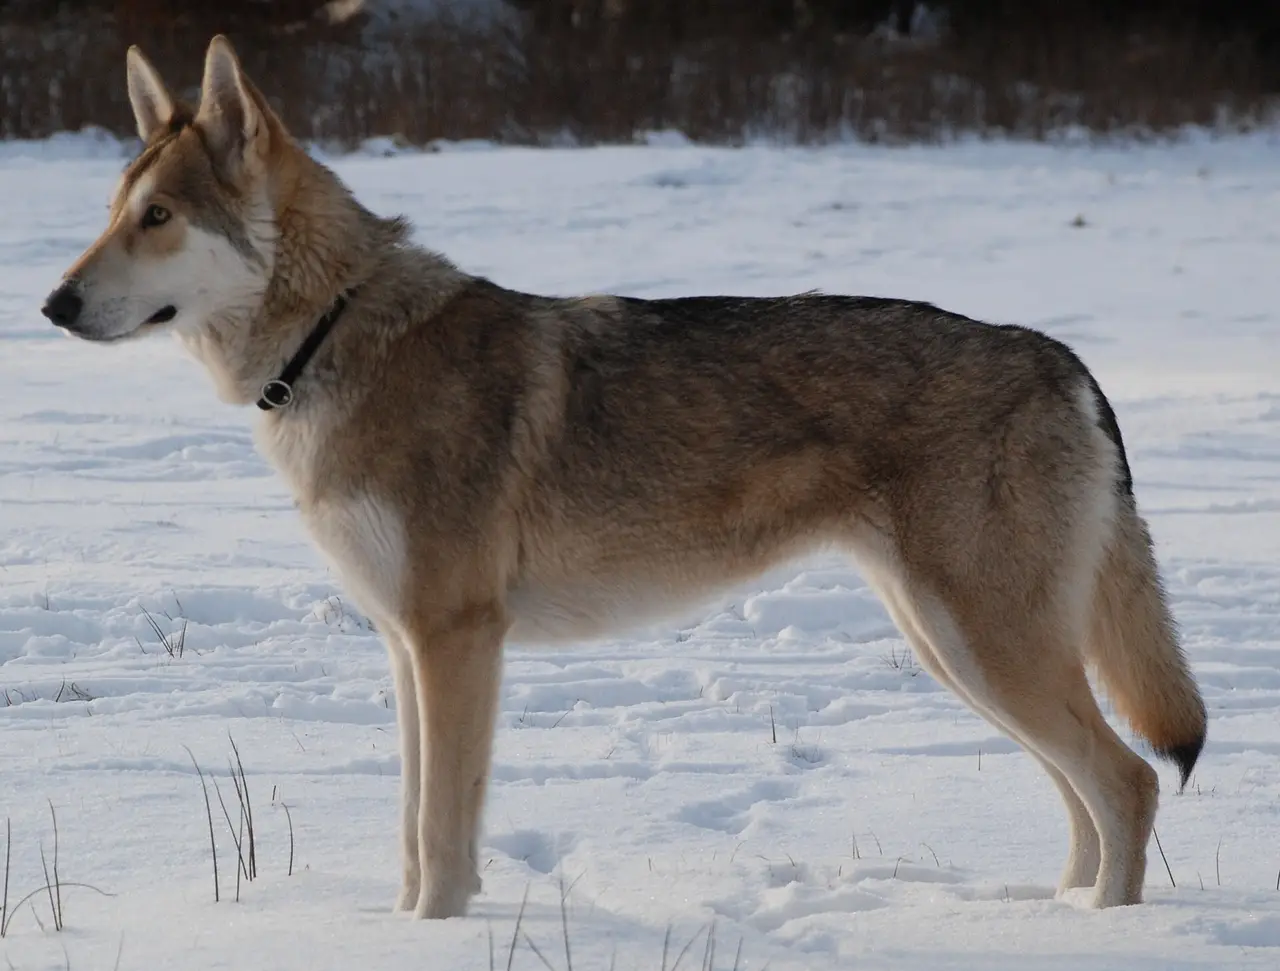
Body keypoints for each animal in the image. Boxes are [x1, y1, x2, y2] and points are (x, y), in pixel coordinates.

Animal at [43, 35, 1206, 918]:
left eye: (157, 218)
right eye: (108, 210)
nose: (52, 305)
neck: (333, 336)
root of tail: (1062, 358)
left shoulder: (457, 638)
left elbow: (443, 836)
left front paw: (433, 934)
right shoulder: (406, 644)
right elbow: (414, 831)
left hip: (981, 645)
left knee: (1131, 781)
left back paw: (1099, 931)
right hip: (956, 648)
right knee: (1084, 795)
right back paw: (1054, 911)